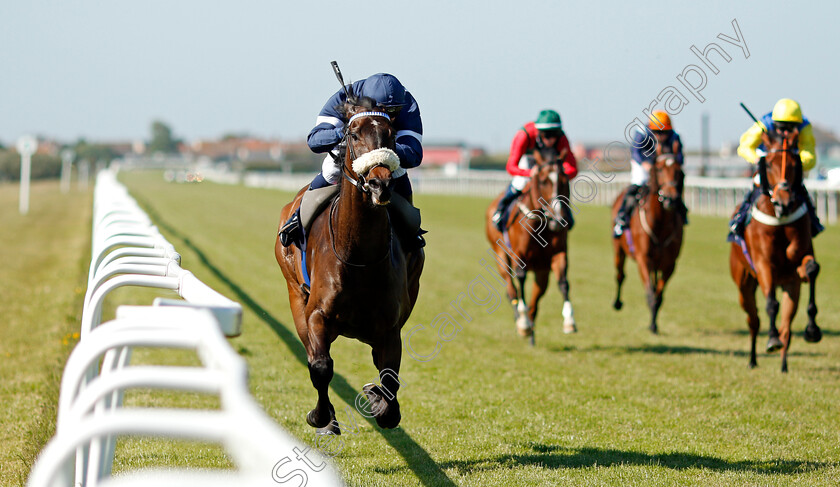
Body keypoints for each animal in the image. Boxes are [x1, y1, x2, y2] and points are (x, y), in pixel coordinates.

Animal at [274, 97, 424, 432]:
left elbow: (389, 384)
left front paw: (377, 399)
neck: (359, 258)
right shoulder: (316, 315)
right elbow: (320, 365)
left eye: (391, 135)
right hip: (294, 293)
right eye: (353, 135)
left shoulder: (390, 330)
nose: (380, 183)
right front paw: (322, 416)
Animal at [486, 149, 576, 346]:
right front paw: (524, 323)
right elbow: (520, 282)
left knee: (535, 300)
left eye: (564, 180)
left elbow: (563, 282)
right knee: (511, 290)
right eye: (543, 181)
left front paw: (569, 321)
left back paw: (532, 333)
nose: (558, 220)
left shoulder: (558, 254)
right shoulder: (519, 256)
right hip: (500, 256)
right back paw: (521, 321)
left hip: (542, 271)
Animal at [612, 137, 684, 336]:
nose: (670, 199)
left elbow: (658, 295)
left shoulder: (669, 264)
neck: (659, 225)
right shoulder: (643, 259)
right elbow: (650, 294)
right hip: (618, 249)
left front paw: (654, 323)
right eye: (659, 169)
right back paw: (617, 302)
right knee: (620, 275)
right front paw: (652, 324)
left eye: (680, 171)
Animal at [728, 127, 820, 372]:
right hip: (743, 285)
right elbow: (771, 303)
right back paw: (753, 359)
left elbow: (811, 269)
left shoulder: (796, 269)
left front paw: (812, 329)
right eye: (768, 164)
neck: (781, 222)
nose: (784, 203)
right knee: (753, 320)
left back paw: (784, 364)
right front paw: (771, 339)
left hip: (790, 287)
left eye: (795, 164)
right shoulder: (763, 265)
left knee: (786, 326)